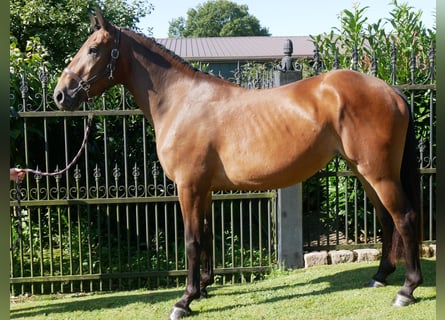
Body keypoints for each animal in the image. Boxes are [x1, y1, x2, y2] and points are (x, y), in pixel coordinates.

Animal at [53, 9, 422, 318]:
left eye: (94, 49)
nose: (60, 94)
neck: (181, 101)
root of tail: (391, 90)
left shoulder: (188, 187)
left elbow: (191, 240)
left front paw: (184, 301)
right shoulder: (203, 189)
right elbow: (206, 235)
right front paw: (203, 288)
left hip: (379, 173)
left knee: (404, 218)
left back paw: (407, 290)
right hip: (365, 172)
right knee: (386, 219)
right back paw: (380, 276)